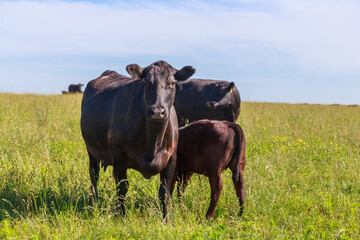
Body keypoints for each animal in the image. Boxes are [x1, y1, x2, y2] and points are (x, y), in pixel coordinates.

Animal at [80, 60, 195, 219]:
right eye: (147, 82)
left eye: (172, 83)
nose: (157, 111)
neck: (153, 141)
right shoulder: (119, 158)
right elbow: (122, 189)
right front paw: (121, 217)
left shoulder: (171, 158)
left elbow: (165, 192)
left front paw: (167, 220)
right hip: (91, 150)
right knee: (94, 175)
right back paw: (94, 201)